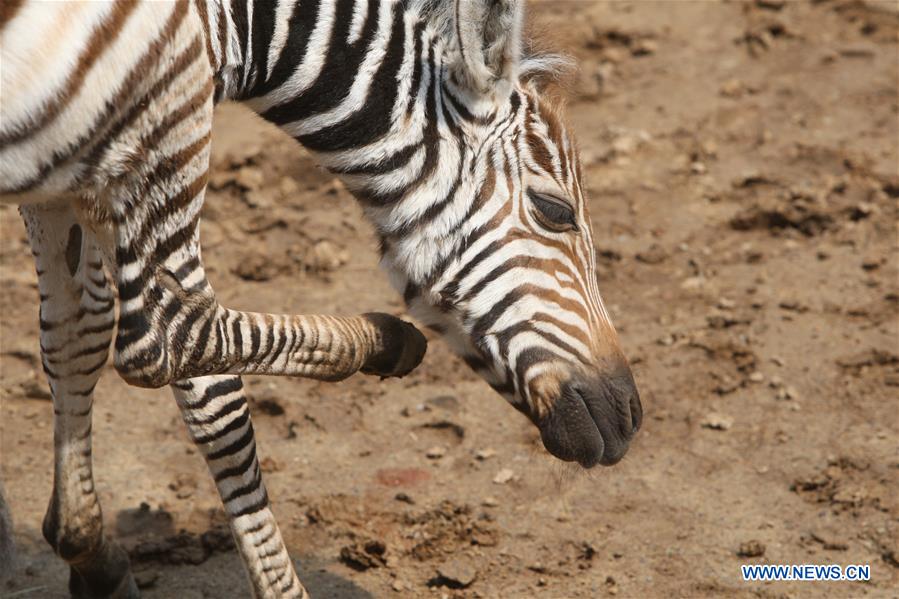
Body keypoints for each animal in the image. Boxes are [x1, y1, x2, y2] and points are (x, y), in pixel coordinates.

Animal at [0, 0, 643, 597]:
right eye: (554, 211)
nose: (630, 418)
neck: (228, 22)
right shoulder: (153, 124)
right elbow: (193, 365)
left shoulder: (72, 162)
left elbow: (77, 334)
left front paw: (86, 547)